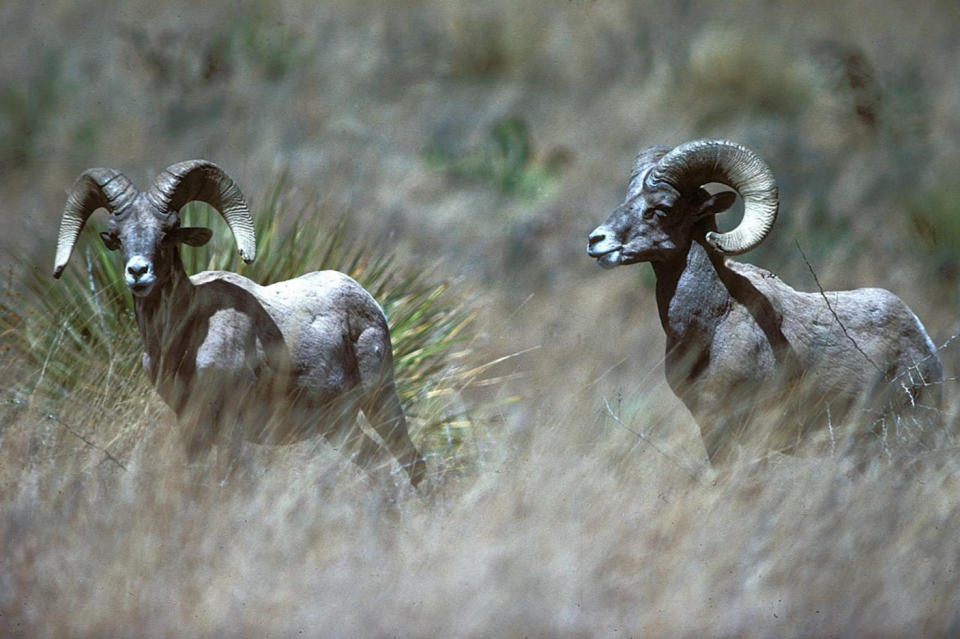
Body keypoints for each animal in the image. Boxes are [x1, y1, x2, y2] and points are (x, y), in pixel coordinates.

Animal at [54, 160, 426, 484]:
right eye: (117, 235)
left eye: (169, 231)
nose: (137, 272)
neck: (182, 339)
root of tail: (369, 301)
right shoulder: (191, 427)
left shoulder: (230, 427)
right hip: (337, 426)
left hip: (380, 401)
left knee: (411, 461)